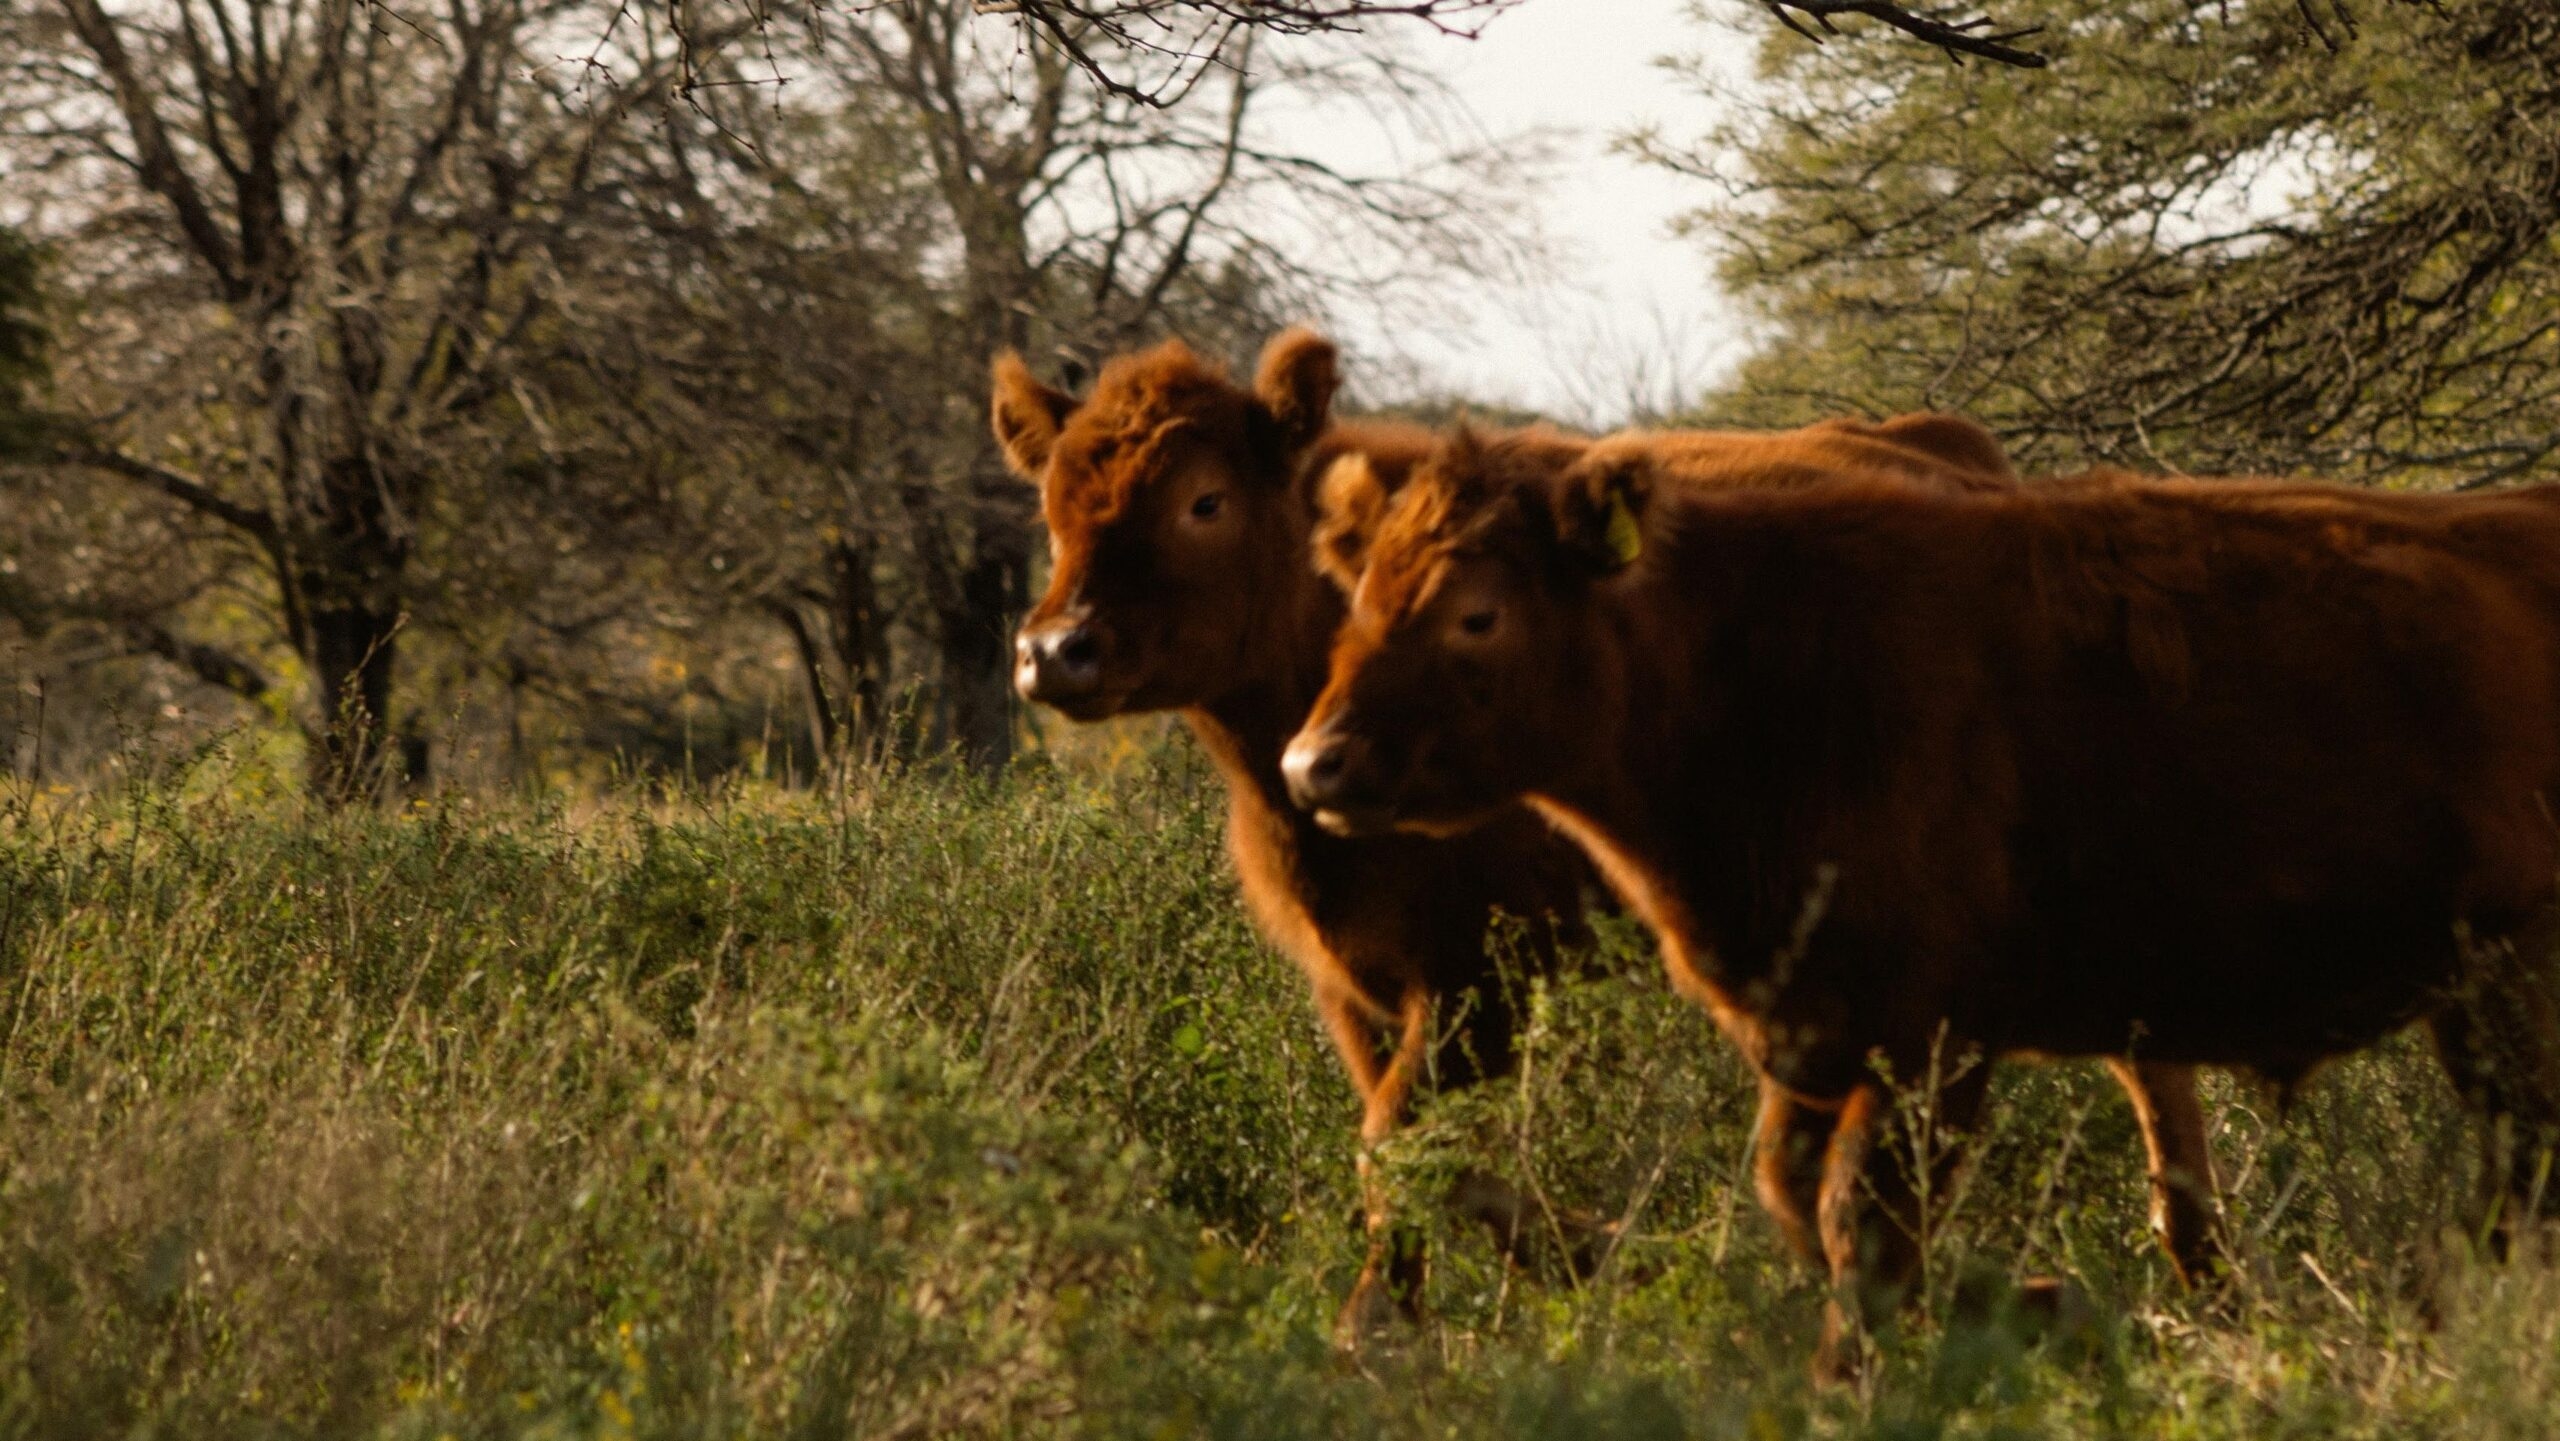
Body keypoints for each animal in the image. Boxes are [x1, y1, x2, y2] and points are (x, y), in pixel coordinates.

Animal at [990, 330, 2067, 1341]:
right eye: (1051, 508)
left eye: (1204, 502)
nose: (1055, 650)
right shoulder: (1356, 984)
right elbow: (1435, 1160)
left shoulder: (1481, 979)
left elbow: (1404, 1150)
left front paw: (1383, 1329)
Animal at [1283, 430, 2560, 1378]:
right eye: (1361, 590)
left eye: (1477, 611)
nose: (1313, 764)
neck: (1754, 658)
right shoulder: (1815, 1032)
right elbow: (1797, 1199)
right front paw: (2032, 1300)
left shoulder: (1928, 1042)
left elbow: (1861, 1226)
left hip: (2510, 984)